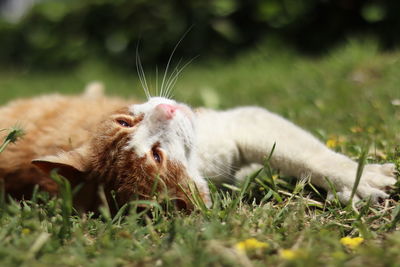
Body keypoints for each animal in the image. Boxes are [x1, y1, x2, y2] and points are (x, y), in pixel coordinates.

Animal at [0, 82, 396, 213]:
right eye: (156, 155)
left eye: (124, 123)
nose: (167, 109)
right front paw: (356, 181)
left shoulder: (241, 122)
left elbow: (308, 154)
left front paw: (356, 177)